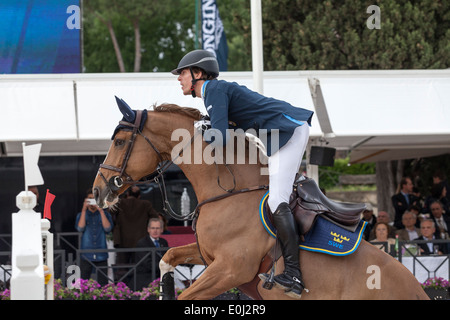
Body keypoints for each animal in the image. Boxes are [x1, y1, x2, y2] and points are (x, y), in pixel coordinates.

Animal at [92, 102, 428, 300]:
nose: (96, 192)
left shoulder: (230, 269)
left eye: (119, 142)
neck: (229, 193)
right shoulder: (209, 256)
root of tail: (417, 290)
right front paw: (165, 282)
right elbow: (168, 256)